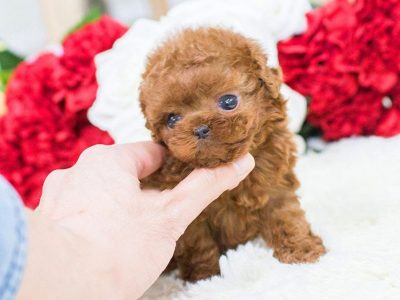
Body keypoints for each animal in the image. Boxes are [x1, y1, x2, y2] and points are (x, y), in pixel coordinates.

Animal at [138, 28, 324, 282]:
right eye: (172, 119)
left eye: (229, 101)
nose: (200, 128)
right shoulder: (190, 217)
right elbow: (198, 245)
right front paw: (204, 277)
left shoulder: (276, 184)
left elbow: (286, 216)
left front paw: (302, 250)